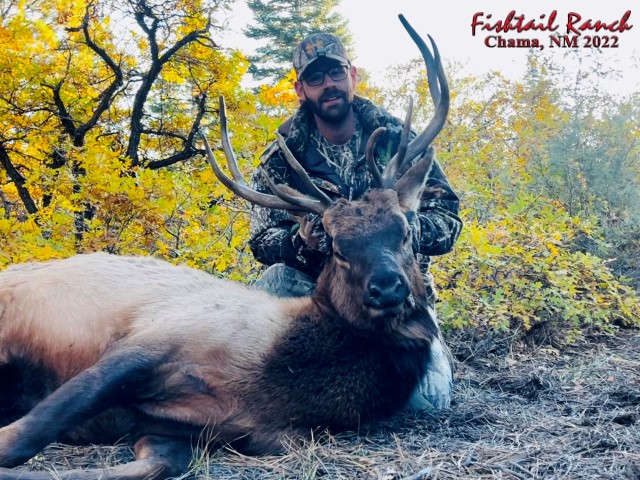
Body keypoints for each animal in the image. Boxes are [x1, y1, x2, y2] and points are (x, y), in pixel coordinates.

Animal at [0, 14, 451, 480]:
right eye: (338, 247)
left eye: (405, 230)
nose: (388, 287)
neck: (273, 377)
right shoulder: (149, 342)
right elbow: (25, 434)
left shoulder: (187, 430)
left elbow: (152, 465)